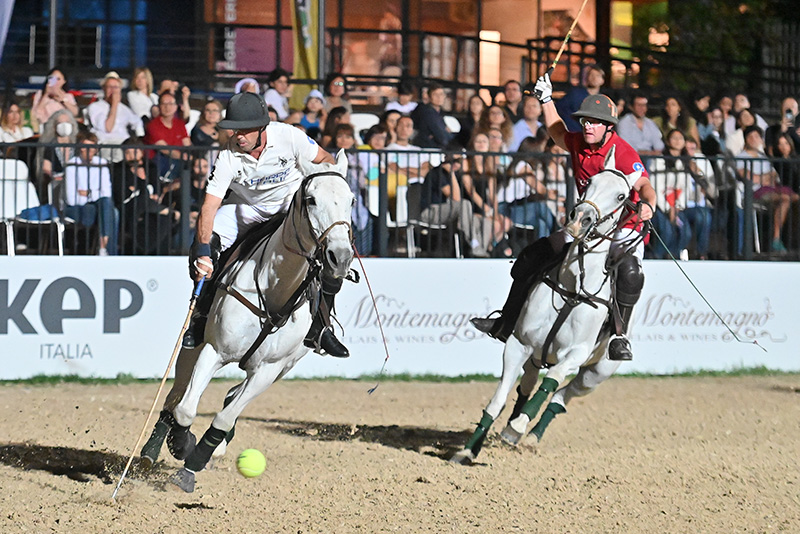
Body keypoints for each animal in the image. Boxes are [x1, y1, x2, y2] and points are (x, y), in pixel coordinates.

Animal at [149, 152, 354, 494]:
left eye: (351, 200)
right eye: (311, 199)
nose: (340, 256)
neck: (275, 291)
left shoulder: (269, 370)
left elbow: (224, 417)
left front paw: (192, 464)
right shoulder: (214, 351)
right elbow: (187, 408)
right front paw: (182, 443)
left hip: (285, 366)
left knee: (231, 396)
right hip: (193, 347)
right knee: (176, 393)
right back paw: (152, 447)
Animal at [450, 147, 644, 464]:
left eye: (621, 197)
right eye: (589, 182)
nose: (580, 220)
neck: (573, 286)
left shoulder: (575, 354)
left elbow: (552, 381)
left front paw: (517, 428)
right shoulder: (519, 344)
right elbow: (498, 400)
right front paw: (468, 450)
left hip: (597, 372)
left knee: (562, 395)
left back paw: (529, 435)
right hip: (536, 355)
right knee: (528, 386)